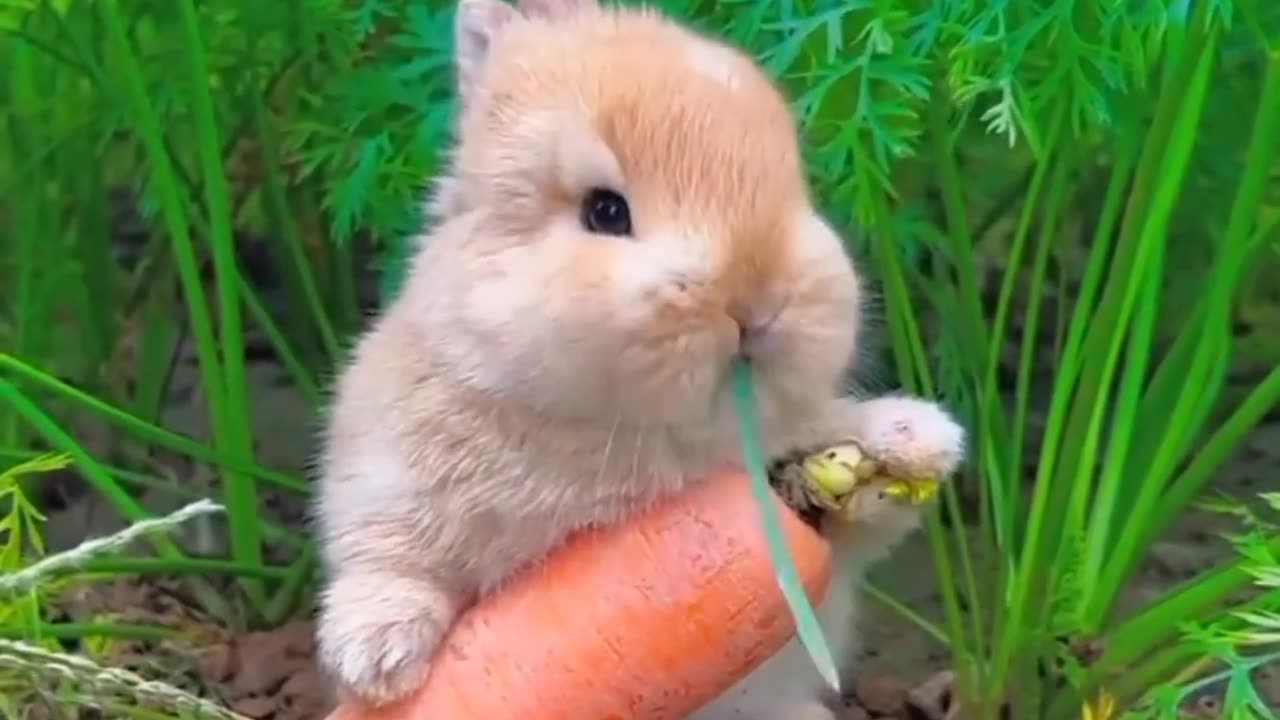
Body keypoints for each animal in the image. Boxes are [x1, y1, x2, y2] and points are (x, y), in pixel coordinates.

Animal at [314, 0, 962, 712]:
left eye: (794, 186)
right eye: (605, 211)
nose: (758, 304)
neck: (632, 438)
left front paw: (920, 440)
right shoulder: (383, 479)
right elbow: (389, 560)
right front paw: (377, 660)